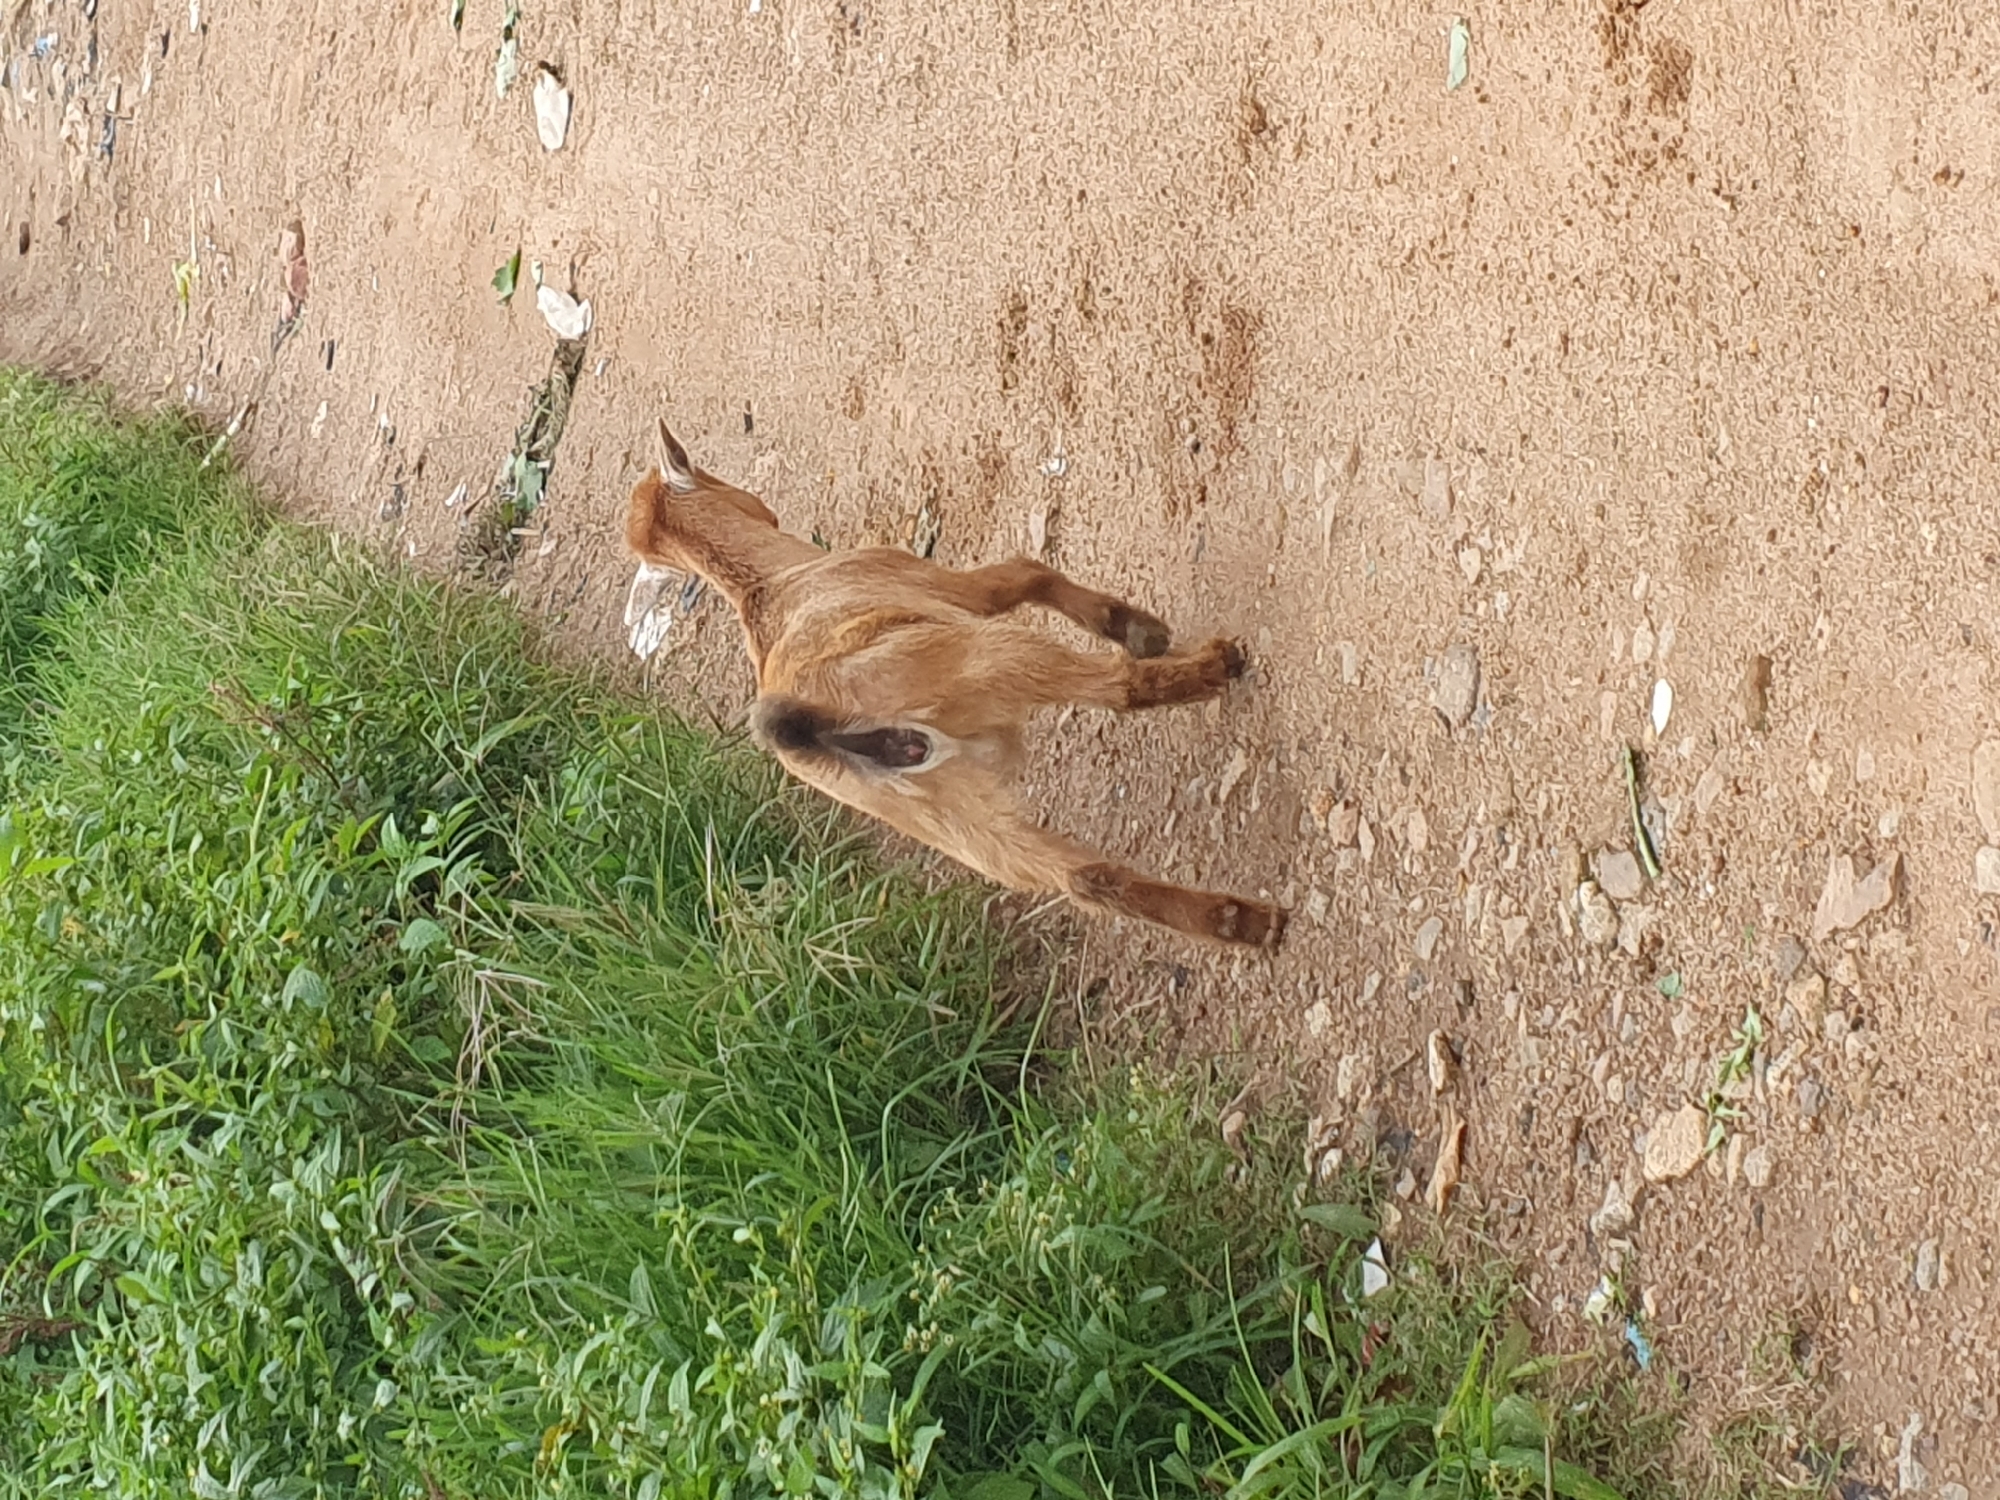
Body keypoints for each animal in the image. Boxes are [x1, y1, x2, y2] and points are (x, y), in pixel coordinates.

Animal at [623, 419, 1287, 949]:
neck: (765, 582)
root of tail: (814, 727)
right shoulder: (953, 591)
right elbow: (1024, 573)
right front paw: (1134, 627)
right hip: (992, 660)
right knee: (1118, 690)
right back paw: (1210, 667)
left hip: (960, 826)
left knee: (1086, 878)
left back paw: (1240, 922)